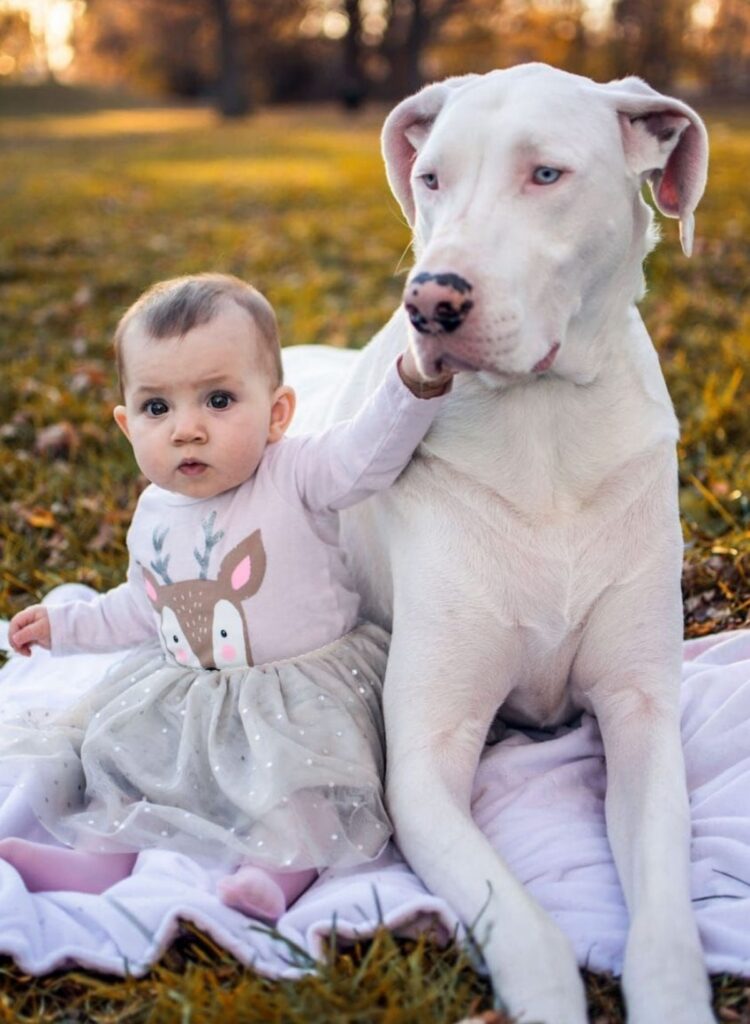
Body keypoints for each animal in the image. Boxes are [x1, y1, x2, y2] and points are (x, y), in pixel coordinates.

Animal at [284, 66, 709, 1024]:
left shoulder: (642, 713)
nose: (430, 300)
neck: (542, 426)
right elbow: (520, 923)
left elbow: (666, 909)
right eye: (432, 178)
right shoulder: (425, 764)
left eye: (546, 174)